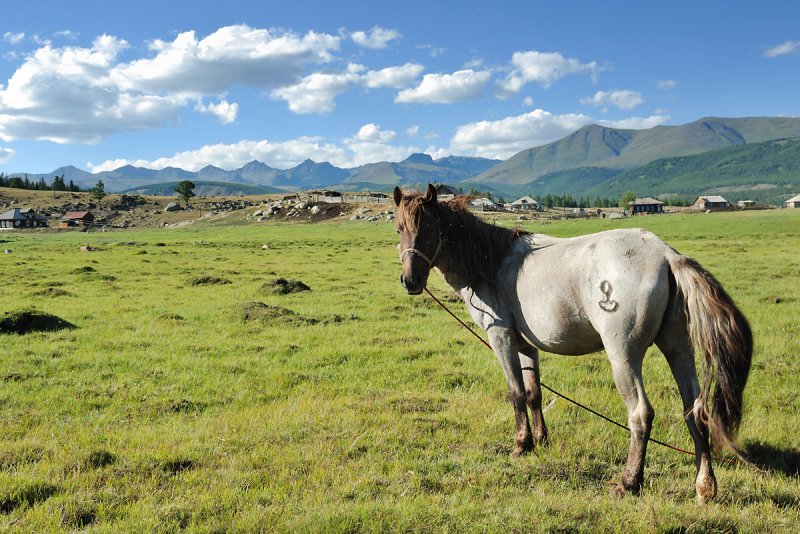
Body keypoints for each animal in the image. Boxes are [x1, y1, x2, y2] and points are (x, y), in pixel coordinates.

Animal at [390, 184, 752, 502]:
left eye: (429, 227)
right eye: (398, 229)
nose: (410, 281)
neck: (490, 262)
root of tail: (663, 254)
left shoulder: (501, 338)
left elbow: (516, 393)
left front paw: (521, 445)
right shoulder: (527, 347)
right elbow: (534, 393)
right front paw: (540, 440)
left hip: (623, 357)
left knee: (640, 414)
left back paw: (629, 482)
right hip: (678, 349)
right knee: (696, 411)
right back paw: (705, 486)